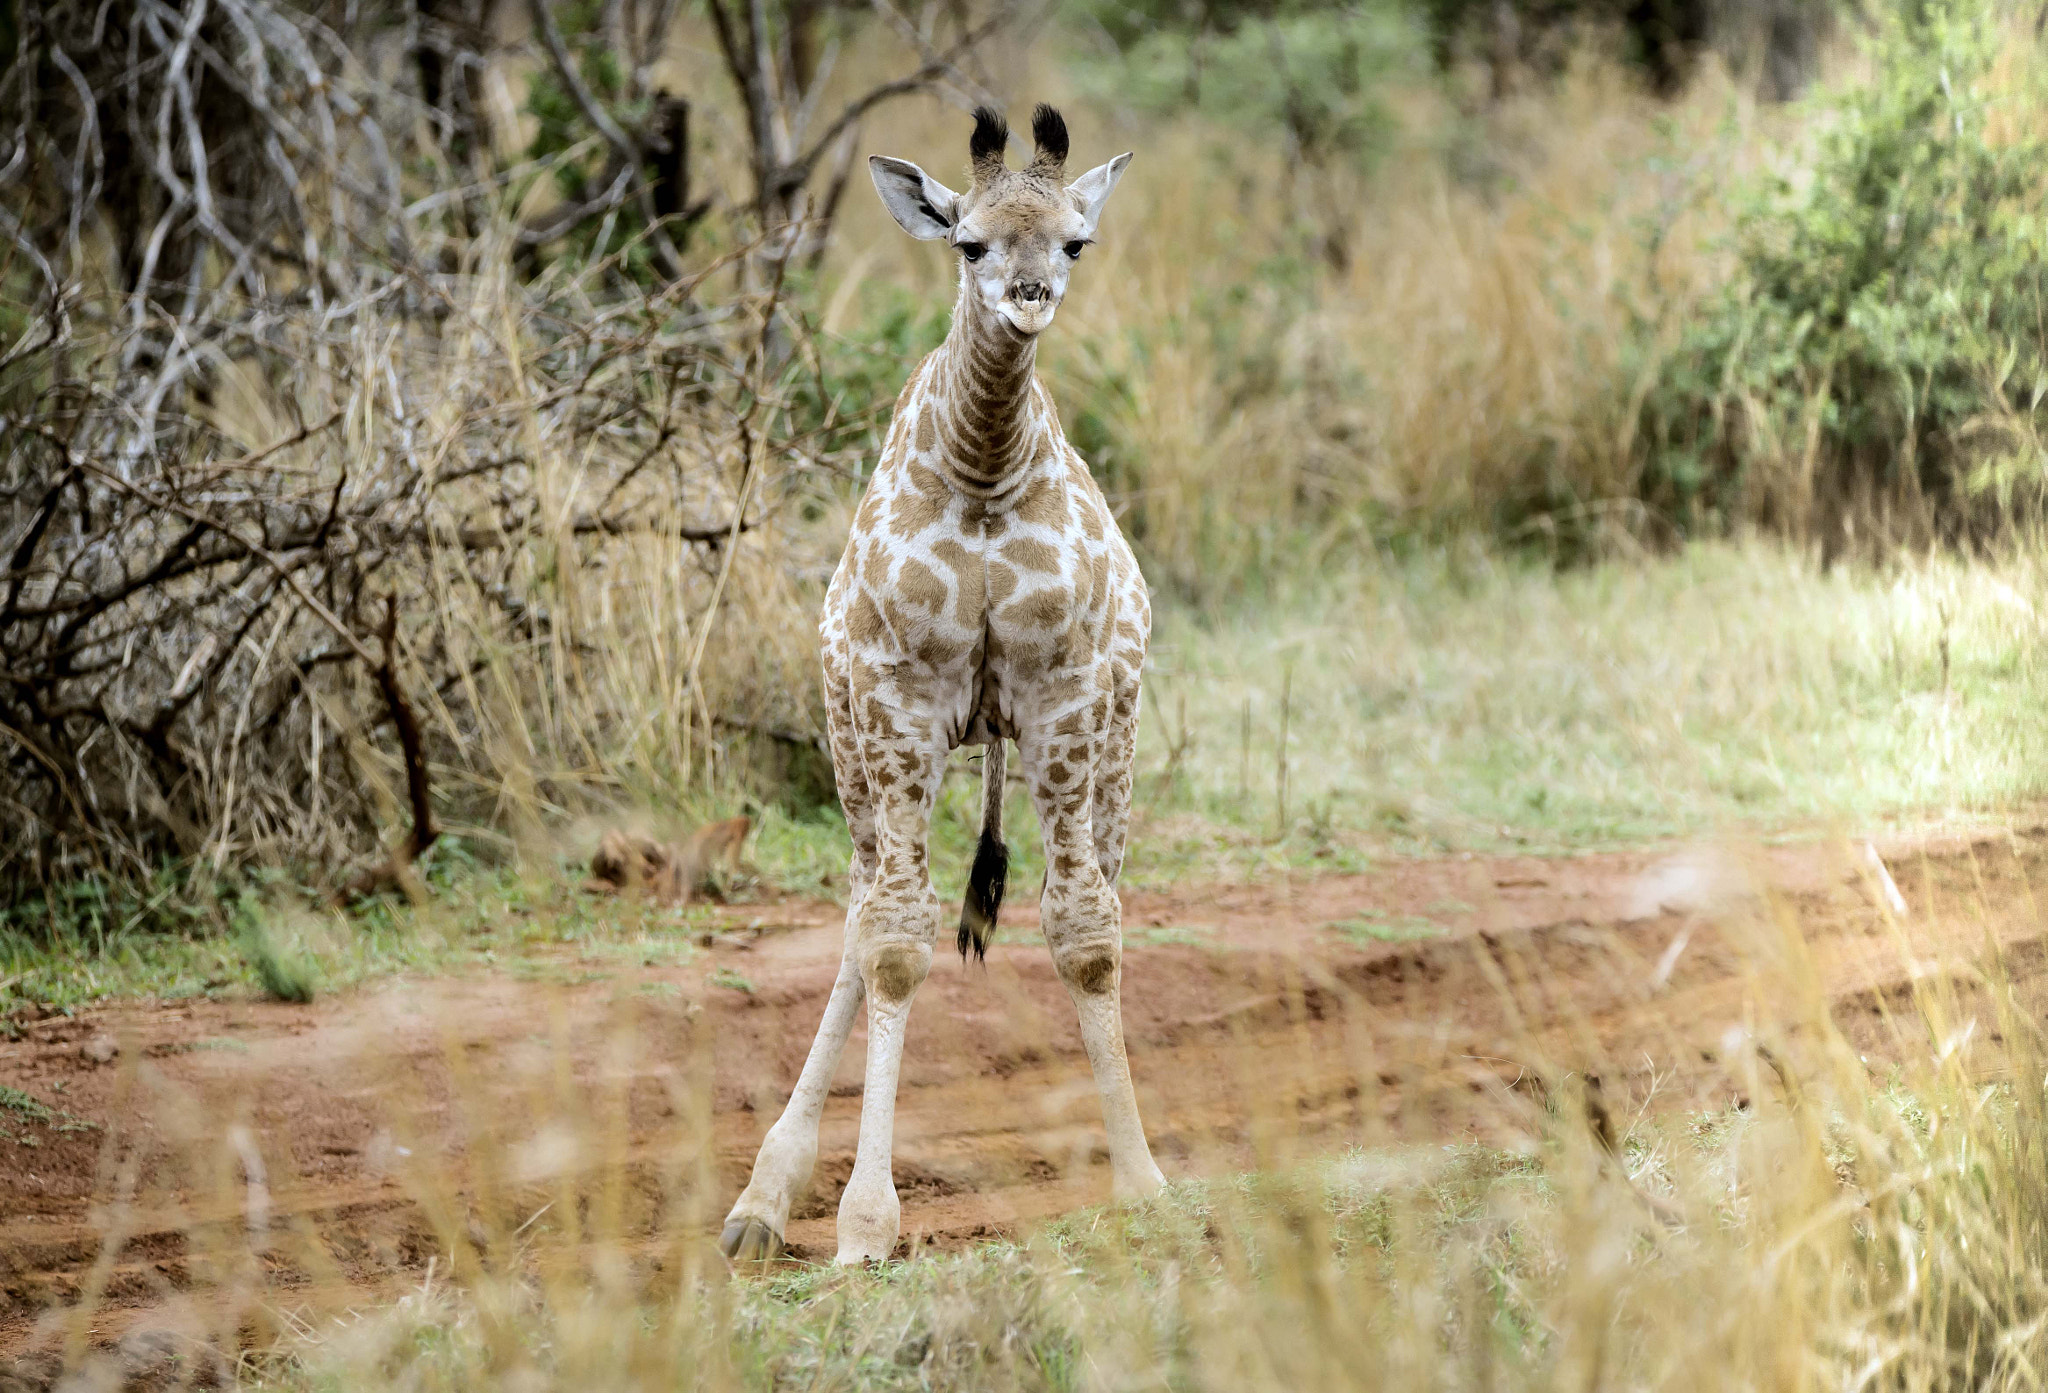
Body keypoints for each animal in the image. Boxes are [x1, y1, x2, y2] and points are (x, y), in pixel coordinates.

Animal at [718, 103, 1165, 1266]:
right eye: (969, 243)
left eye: (1073, 242)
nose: (1028, 297)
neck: (982, 470)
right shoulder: (897, 703)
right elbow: (894, 947)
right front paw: (865, 1222)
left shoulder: (1064, 695)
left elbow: (1086, 938)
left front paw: (1142, 1180)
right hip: (852, 754)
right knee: (862, 912)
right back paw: (758, 1202)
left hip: (1110, 752)